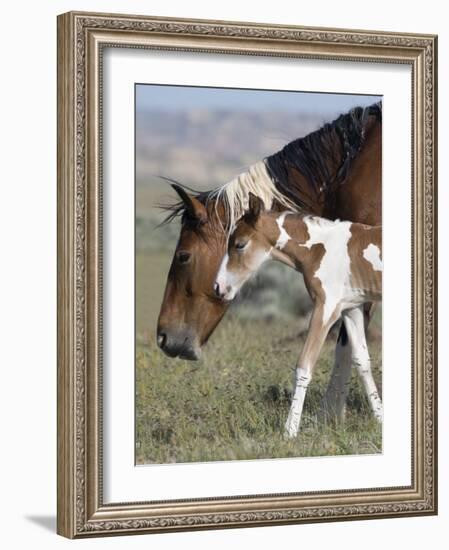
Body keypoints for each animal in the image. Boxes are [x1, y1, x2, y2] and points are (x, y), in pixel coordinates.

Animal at [214, 195, 382, 440]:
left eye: (240, 244)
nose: (218, 288)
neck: (321, 249)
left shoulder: (325, 308)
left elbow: (304, 365)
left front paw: (289, 431)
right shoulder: (351, 309)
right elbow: (362, 362)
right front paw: (381, 420)